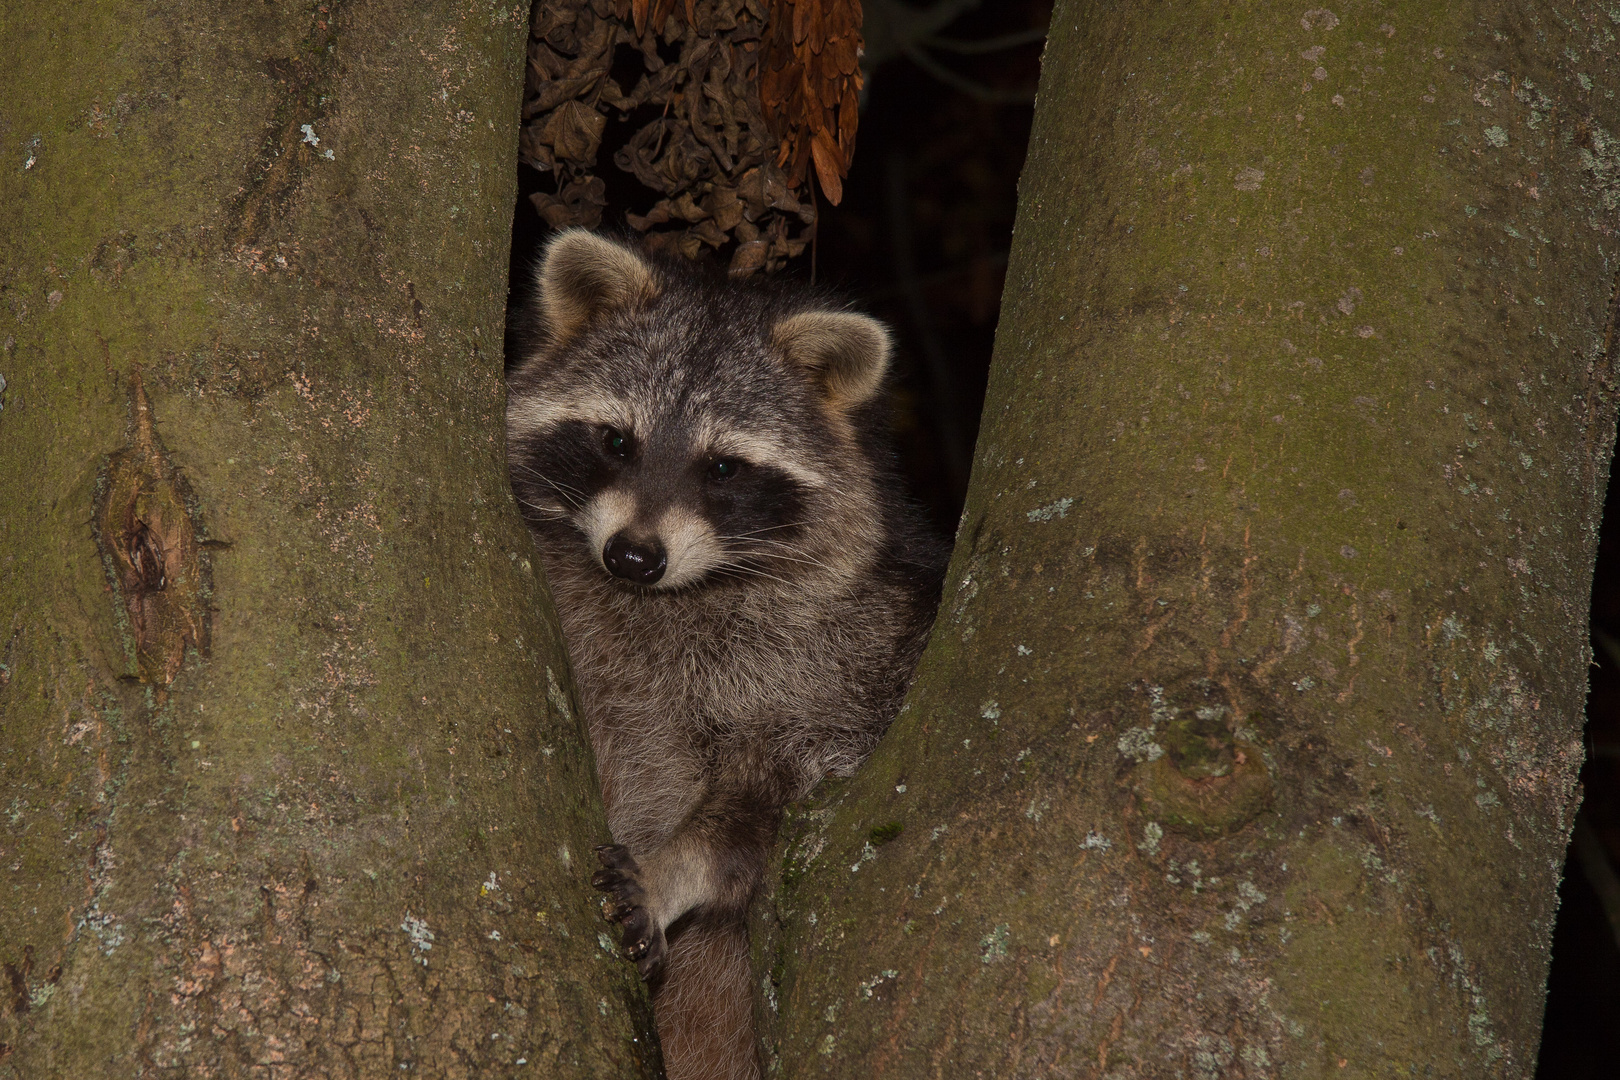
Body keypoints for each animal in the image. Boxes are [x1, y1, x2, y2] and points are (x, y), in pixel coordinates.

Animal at [498, 233, 946, 1075]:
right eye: (616, 441)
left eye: (722, 467)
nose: (633, 557)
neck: (670, 599)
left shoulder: (853, 665)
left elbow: (759, 810)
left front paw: (674, 867)